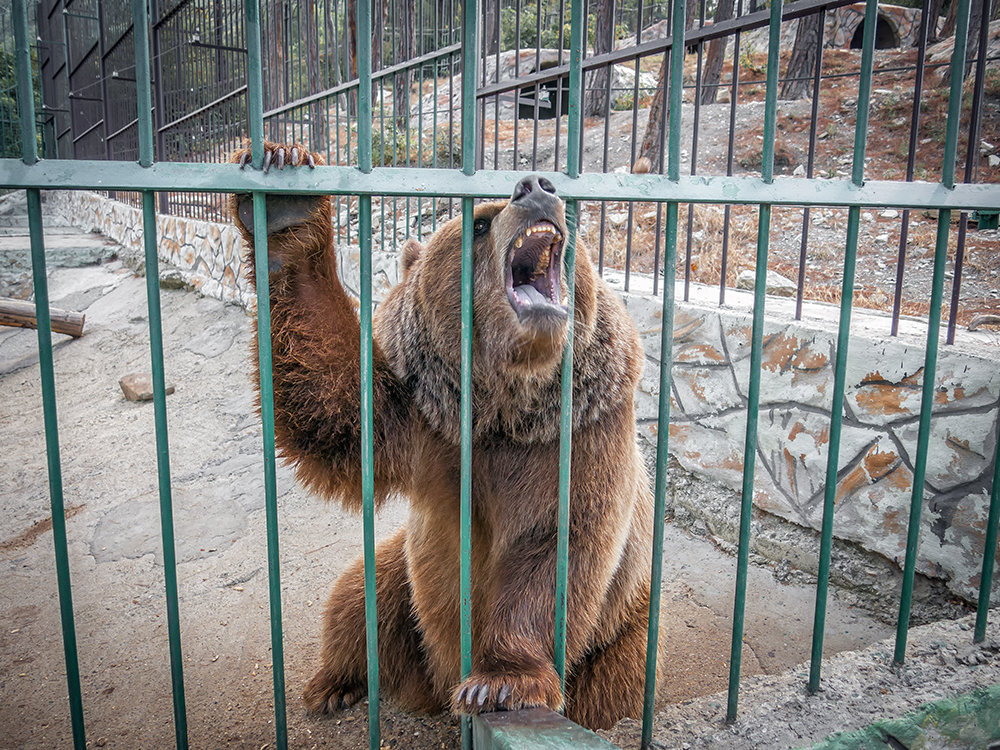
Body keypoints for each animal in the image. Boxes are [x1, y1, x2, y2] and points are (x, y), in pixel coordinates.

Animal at [230, 144, 660, 732]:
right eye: (479, 223)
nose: (537, 186)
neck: (503, 403)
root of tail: (430, 687)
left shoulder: (578, 429)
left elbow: (555, 542)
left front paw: (500, 683)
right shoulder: (424, 414)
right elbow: (336, 408)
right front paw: (283, 202)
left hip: (624, 631)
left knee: (617, 682)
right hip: (403, 581)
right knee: (361, 598)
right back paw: (334, 684)